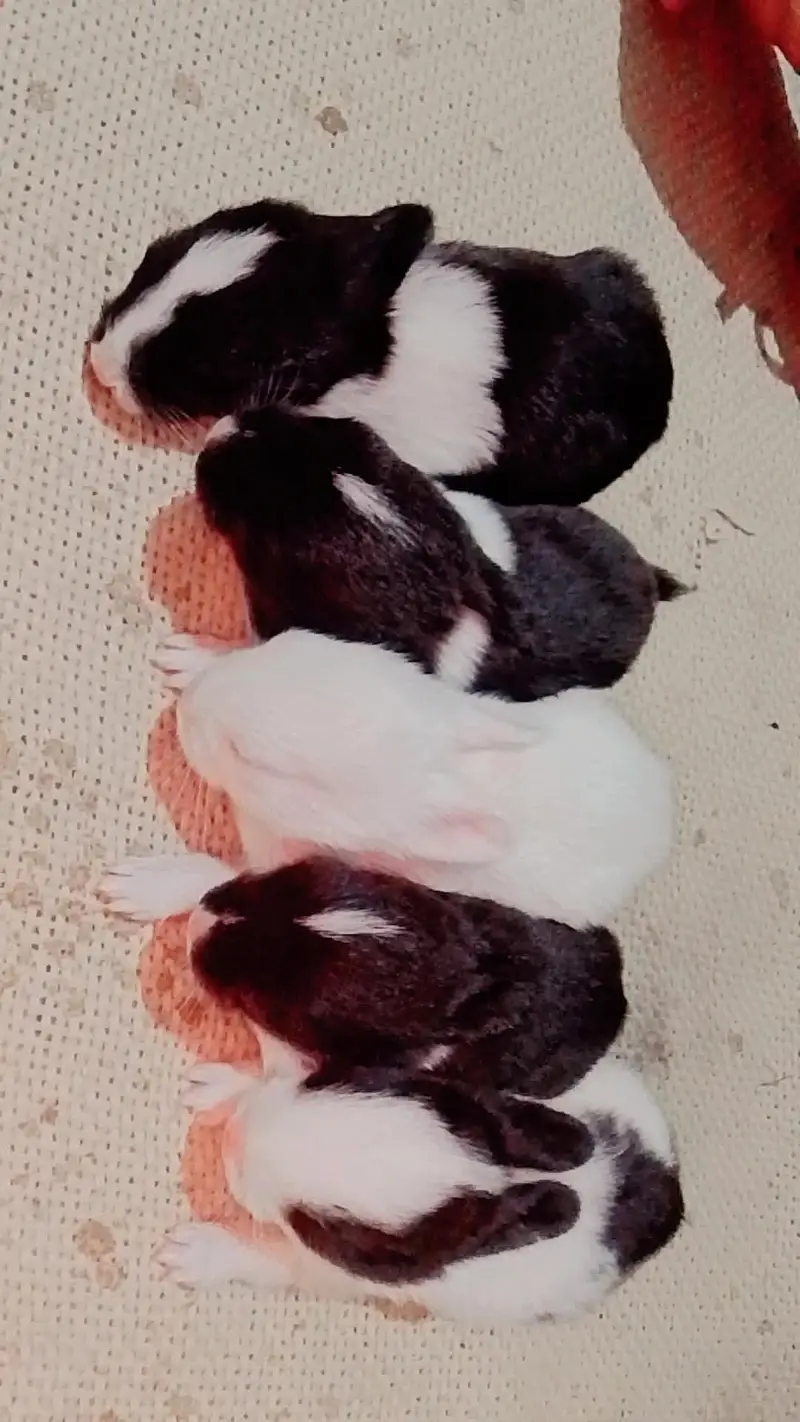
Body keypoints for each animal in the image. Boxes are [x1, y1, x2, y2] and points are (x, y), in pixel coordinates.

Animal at [99, 850, 627, 1098]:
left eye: (273, 1007)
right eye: (291, 875)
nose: (200, 923)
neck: (471, 969)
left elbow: (280, 1079)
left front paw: (211, 1086)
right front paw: (152, 884)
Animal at [150, 626, 673, 928]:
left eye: (250, 757)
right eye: (288, 643)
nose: (189, 707)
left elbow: (227, 877)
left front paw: (142, 887)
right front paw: (189, 659)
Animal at [153, 1051, 682, 1325]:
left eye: (318, 1225)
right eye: (343, 1080)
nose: (235, 1139)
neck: (497, 1177)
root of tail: (673, 1191)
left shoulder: (331, 1270)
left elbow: (266, 1260)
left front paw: (190, 1256)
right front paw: (215, 1087)